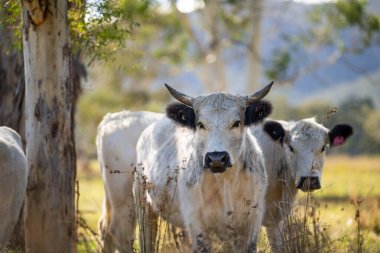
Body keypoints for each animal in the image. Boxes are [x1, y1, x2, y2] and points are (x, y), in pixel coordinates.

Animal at [135, 82, 274, 252]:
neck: (225, 183)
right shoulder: (197, 226)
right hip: (144, 209)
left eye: (236, 123)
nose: (216, 158)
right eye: (200, 124)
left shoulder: (251, 225)